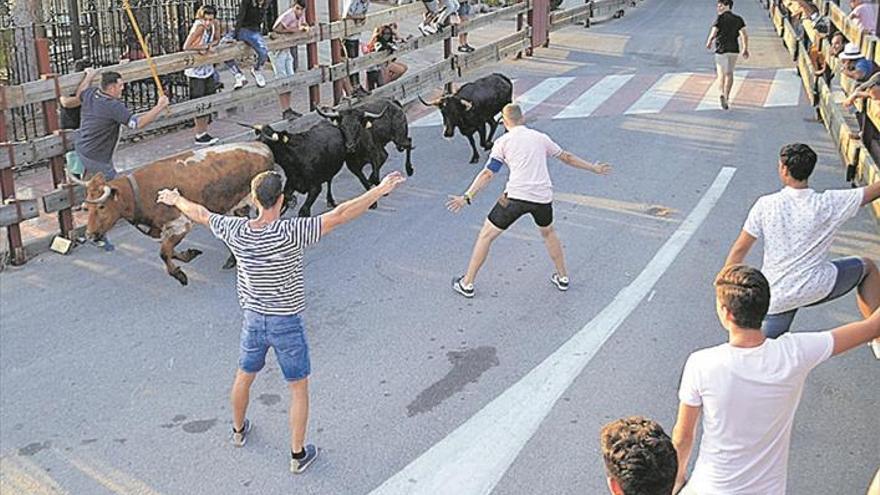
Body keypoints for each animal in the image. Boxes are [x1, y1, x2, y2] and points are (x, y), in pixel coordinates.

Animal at [75, 141, 276, 284]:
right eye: (86, 208)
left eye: (101, 207)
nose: (90, 235)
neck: (138, 194)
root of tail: (261, 146)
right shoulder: (164, 230)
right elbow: (170, 251)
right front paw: (189, 254)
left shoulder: (181, 224)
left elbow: (164, 253)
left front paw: (179, 274)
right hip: (236, 206)